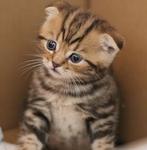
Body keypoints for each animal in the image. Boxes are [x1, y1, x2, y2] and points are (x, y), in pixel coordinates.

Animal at [18, 1, 124, 150]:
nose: (55, 63)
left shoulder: (103, 115)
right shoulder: (38, 107)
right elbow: (30, 136)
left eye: (75, 58)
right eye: (51, 45)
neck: (63, 87)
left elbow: (102, 143)